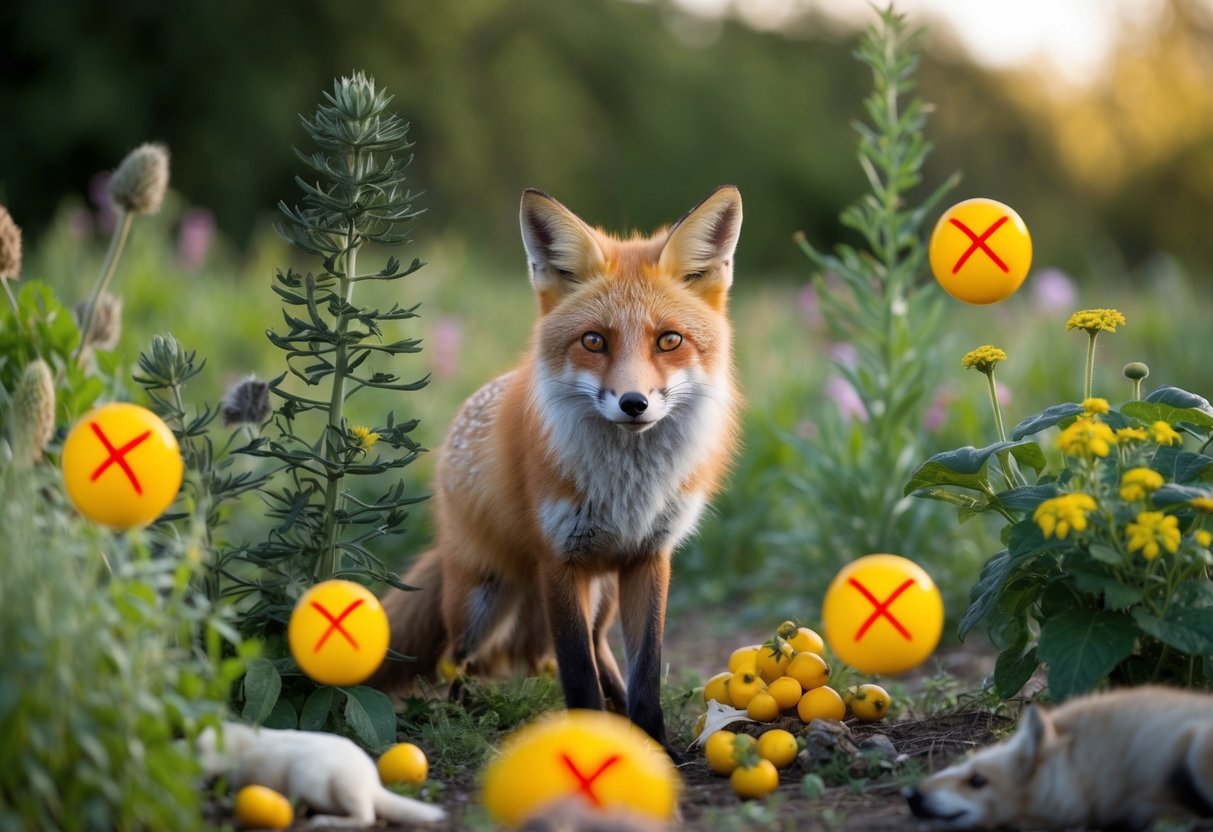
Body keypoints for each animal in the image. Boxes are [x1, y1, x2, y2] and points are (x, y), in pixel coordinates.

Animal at [373, 186, 743, 751]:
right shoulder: (558, 561)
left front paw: (650, 742)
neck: (628, 488)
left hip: (603, 590)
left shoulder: (649, 557)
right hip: (482, 602)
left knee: (600, 645)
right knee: (456, 660)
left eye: (669, 340)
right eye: (594, 341)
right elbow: (575, 672)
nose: (634, 403)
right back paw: (463, 714)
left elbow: (646, 670)